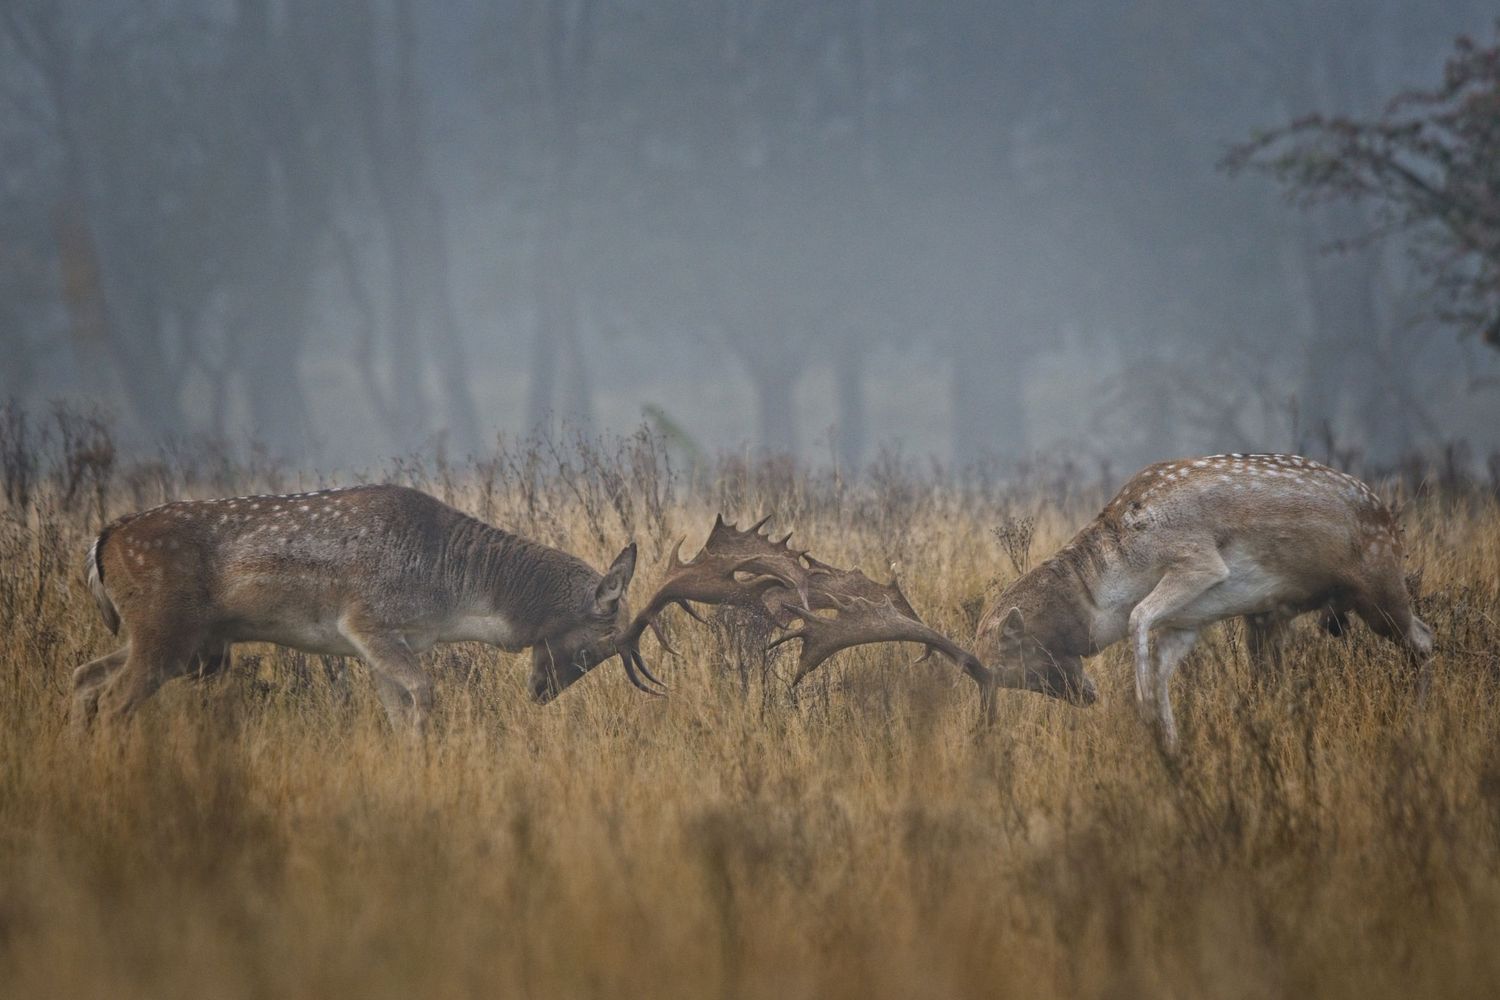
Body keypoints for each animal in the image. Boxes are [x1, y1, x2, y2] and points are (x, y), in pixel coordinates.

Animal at [74, 484, 678, 732]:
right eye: (599, 645)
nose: (542, 694)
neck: (450, 599)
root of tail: (102, 542)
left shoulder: (386, 643)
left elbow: (398, 709)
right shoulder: (365, 621)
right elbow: (424, 695)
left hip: (173, 639)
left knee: (84, 677)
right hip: (166, 631)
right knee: (114, 700)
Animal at [968, 453, 1435, 747]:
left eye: (1027, 666)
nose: (1086, 696)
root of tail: (1391, 521)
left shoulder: (1198, 560)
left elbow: (1139, 616)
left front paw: (1143, 713)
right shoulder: (1187, 621)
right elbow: (1163, 666)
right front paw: (1169, 743)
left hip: (1380, 584)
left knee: (1424, 637)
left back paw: (1420, 725)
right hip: (1276, 616)